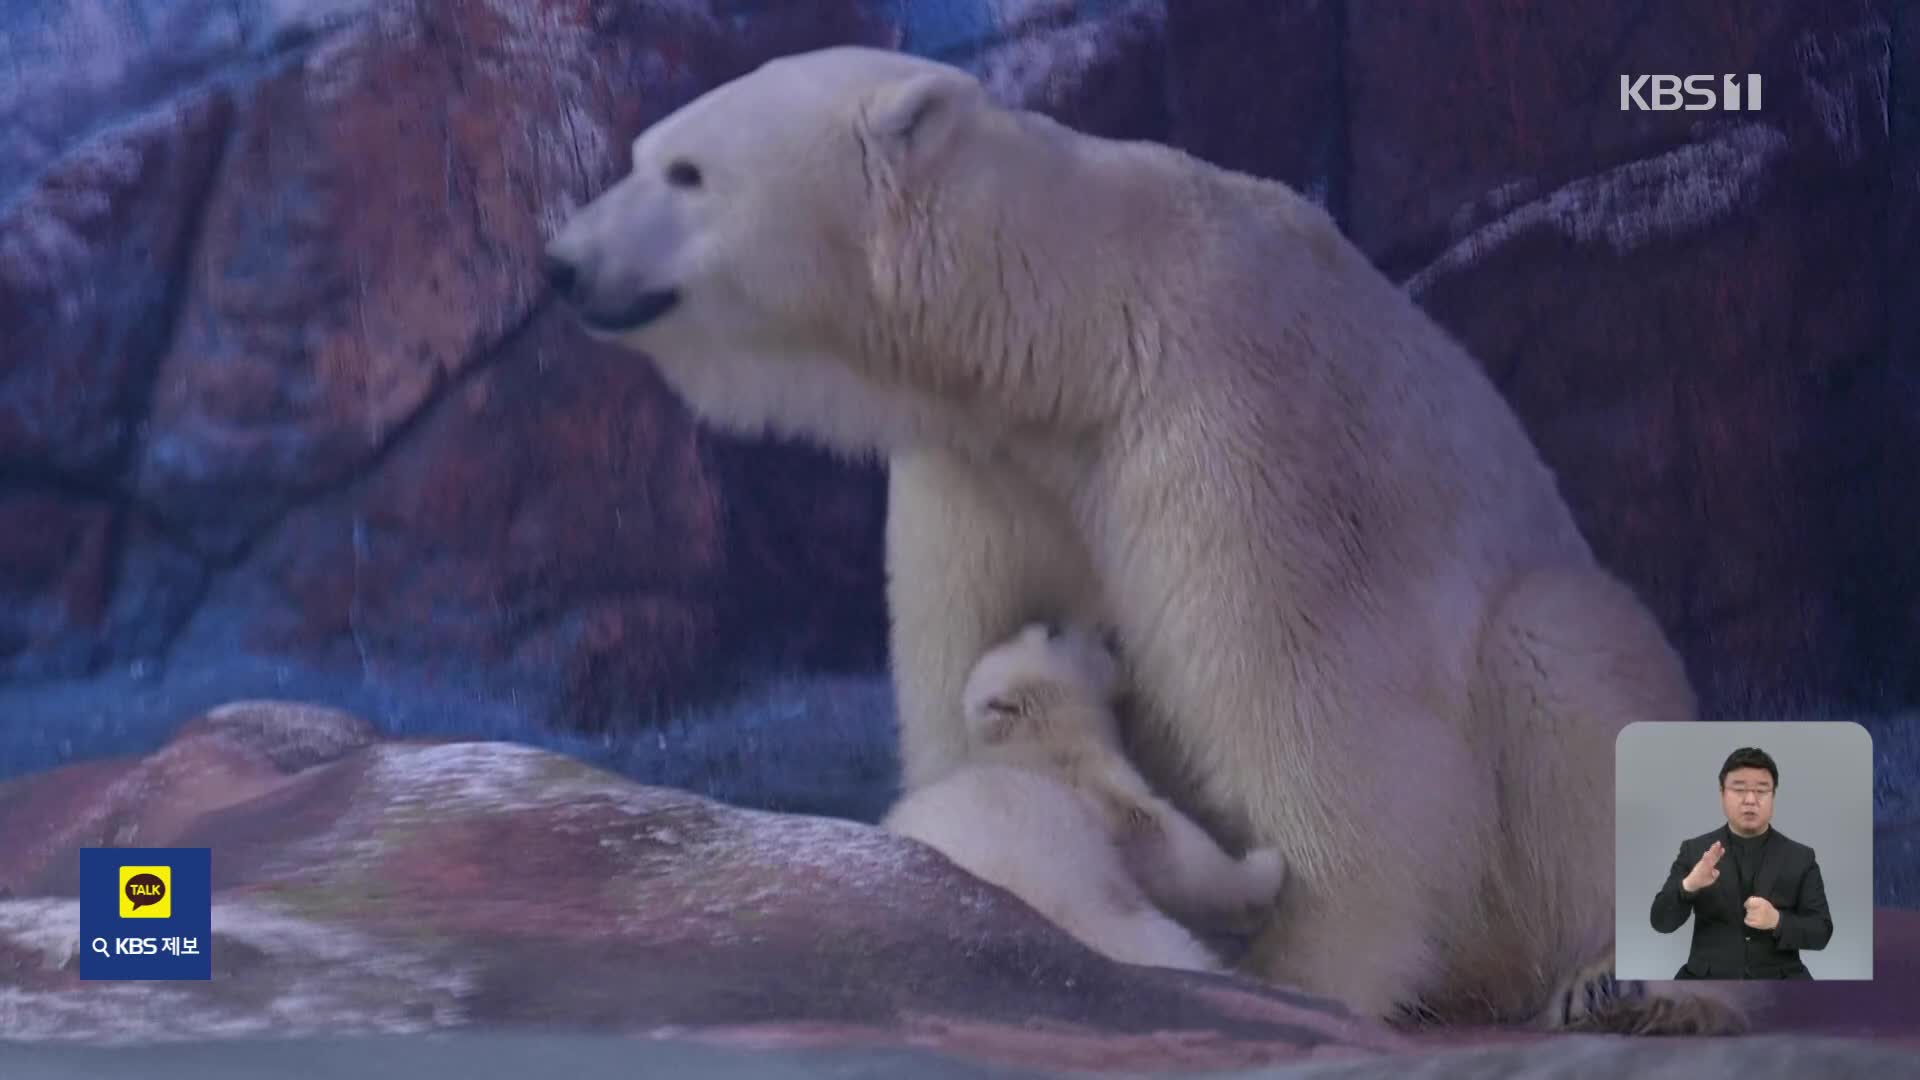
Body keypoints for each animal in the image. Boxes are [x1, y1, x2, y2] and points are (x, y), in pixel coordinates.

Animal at [549, 46, 1751, 1030]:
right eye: (639, 153)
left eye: (687, 173)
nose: (558, 263)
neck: (1075, 327)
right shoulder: (982, 469)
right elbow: (960, 665)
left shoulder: (1233, 417)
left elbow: (1324, 712)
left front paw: (1301, 976)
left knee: (1566, 671)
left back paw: (1627, 985)